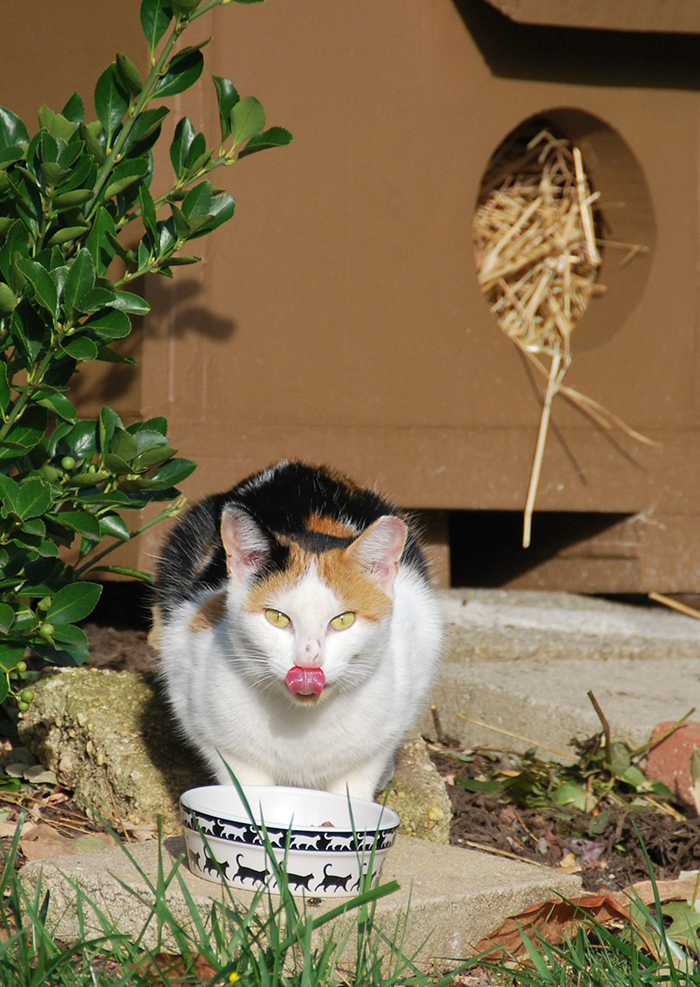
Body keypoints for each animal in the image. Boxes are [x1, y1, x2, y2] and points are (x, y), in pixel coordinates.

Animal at [156, 464, 446, 804]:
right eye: (277, 618)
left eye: (343, 620)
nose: (309, 660)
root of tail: (299, 468)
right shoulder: (207, 721)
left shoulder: (375, 745)